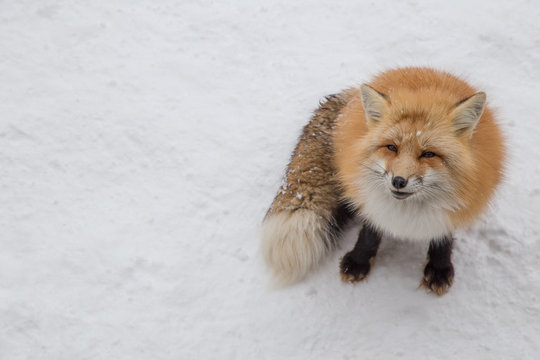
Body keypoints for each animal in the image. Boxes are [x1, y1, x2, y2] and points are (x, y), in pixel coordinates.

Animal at [262, 67, 506, 296]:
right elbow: (370, 230)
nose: (398, 181)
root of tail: (351, 98)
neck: (408, 212)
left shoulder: (460, 202)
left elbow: (443, 236)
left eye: (428, 154)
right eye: (391, 147)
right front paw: (359, 260)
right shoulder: (369, 196)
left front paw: (439, 268)